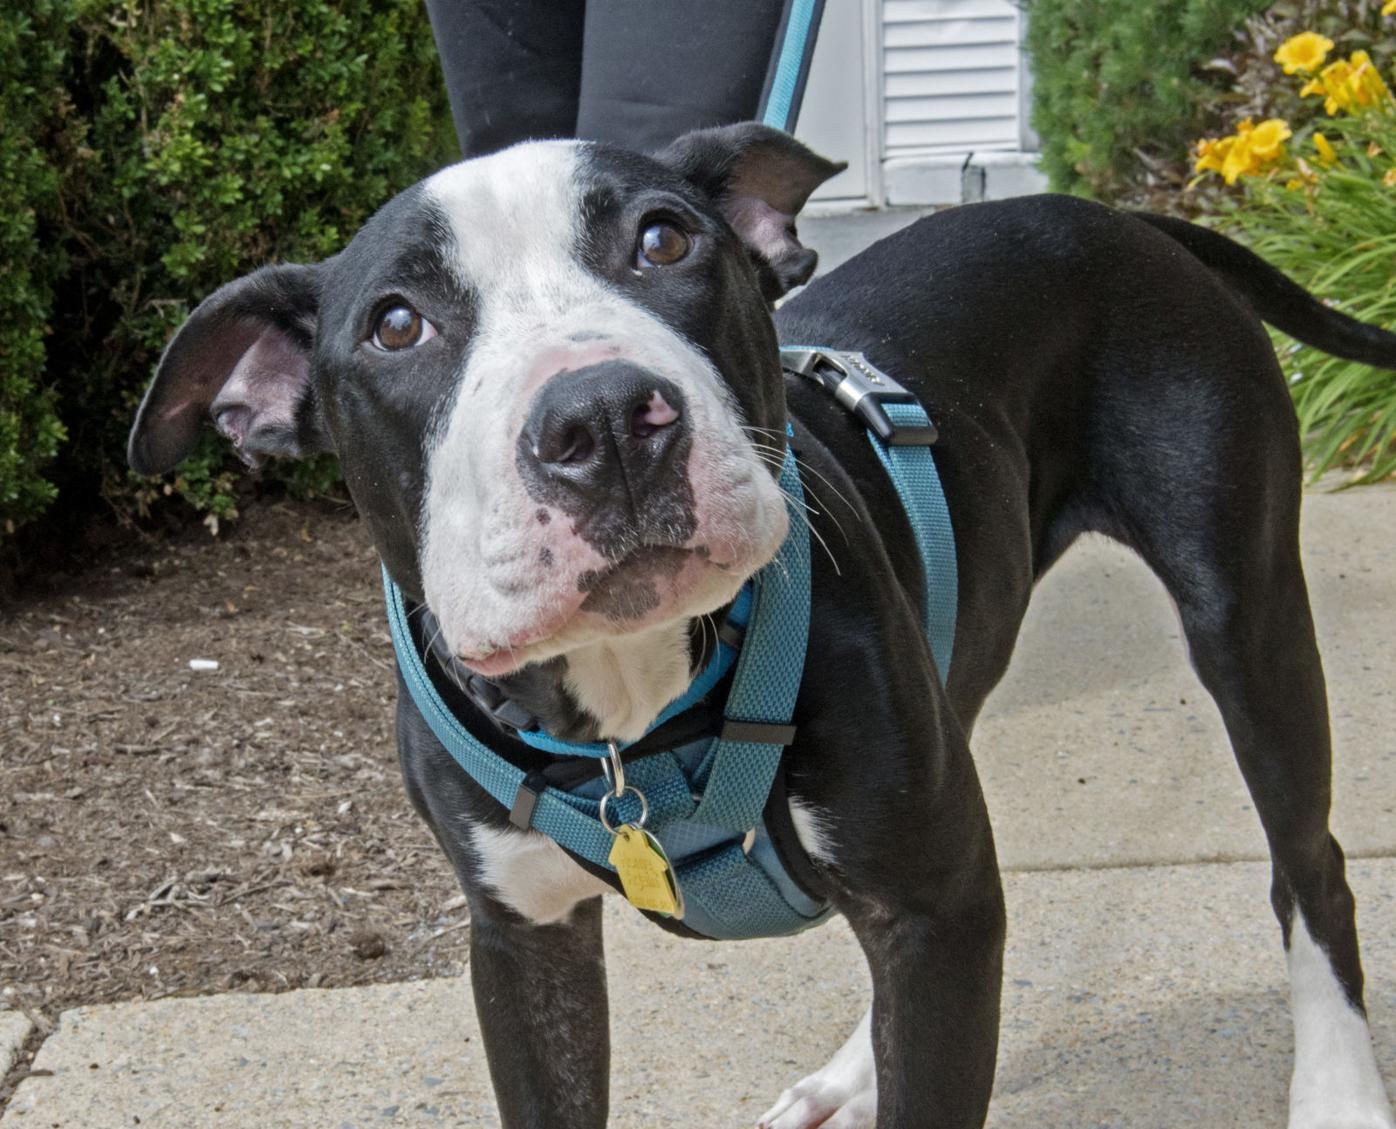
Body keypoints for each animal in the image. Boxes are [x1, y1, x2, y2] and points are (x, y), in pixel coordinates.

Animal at [125, 125, 1390, 1127]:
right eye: (396, 324)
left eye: (664, 241)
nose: (602, 417)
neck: (633, 719)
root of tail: (1116, 218)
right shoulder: (523, 947)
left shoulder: (933, 904)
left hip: (1242, 611)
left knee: (1310, 866)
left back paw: (1338, 1090)